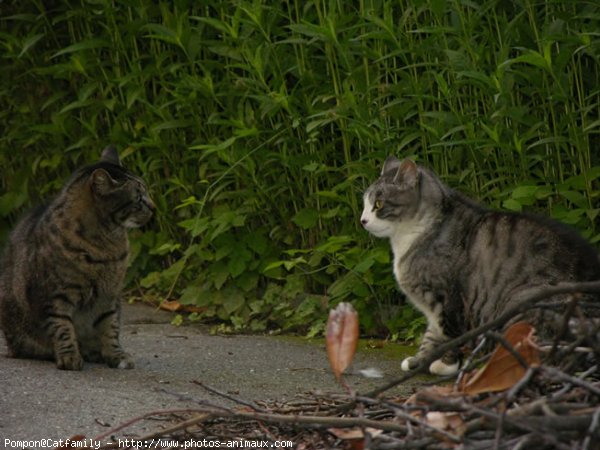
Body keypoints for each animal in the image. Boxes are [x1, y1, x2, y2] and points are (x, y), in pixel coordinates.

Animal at [0, 146, 155, 370]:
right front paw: (69, 357)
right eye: (138, 199)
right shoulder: (55, 296)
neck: (106, 244)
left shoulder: (109, 297)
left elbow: (110, 328)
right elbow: (63, 327)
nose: (154, 207)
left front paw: (115, 355)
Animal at [360, 156, 600, 374]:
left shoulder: (447, 296)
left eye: (378, 204)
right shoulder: (434, 305)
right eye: (364, 204)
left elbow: (448, 333)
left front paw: (446, 364)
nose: (362, 220)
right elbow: (431, 334)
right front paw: (419, 361)